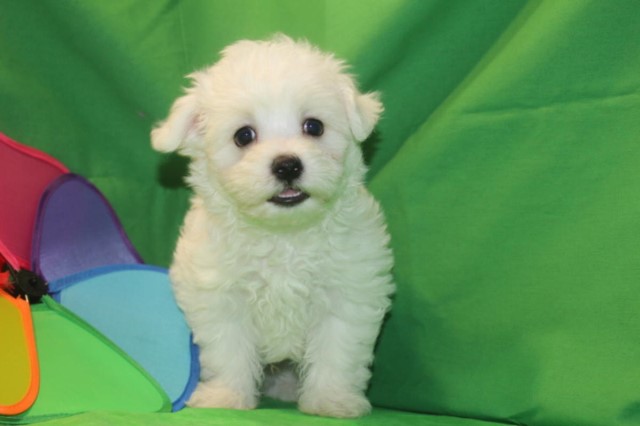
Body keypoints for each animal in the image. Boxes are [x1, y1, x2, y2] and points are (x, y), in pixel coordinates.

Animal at [152, 35, 396, 418]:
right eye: (243, 136)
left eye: (314, 126)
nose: (287, 165)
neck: (284, 234)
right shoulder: (221, 298)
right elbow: (228, 350)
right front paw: (226, 397)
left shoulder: (348, 292)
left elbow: (337, 351)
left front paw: (331, 400)